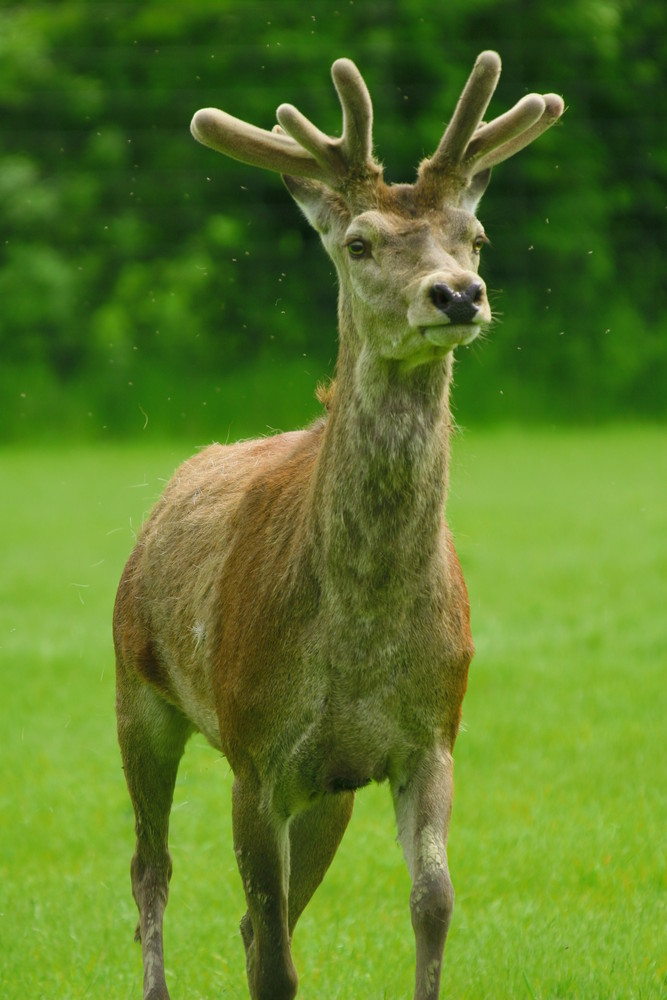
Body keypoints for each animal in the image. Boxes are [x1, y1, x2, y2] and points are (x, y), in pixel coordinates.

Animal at [113, 48, 564, 1000]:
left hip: (330, 791)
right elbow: (274, 959)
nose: (458, 295)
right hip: (137, 686)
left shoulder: (429, 736)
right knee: (151, 870)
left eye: (475, 238)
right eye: (358, 242)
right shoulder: (255, 753)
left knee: (251, 914)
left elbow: (431, 901)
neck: (359, 642)